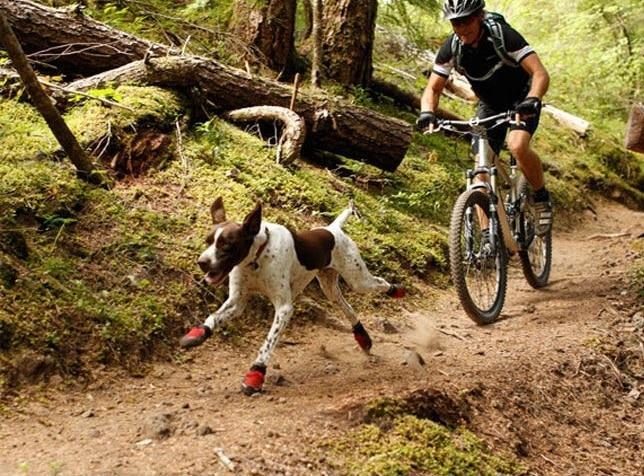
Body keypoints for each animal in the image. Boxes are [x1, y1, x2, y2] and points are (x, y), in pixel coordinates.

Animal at [179, 197, 406, 394]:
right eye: (207, 241)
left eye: (227, 245)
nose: (201, 262)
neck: (257, 257)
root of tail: (332, 229)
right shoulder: (237, 302)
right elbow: (214, 316)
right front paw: (198, 333)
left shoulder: (284, 308)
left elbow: (268, 344)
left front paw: (256, 374)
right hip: (329, 287)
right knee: (346, 306)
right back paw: (362, 337)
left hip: (358, 280)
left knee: (380, 283)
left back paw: (396, 290)